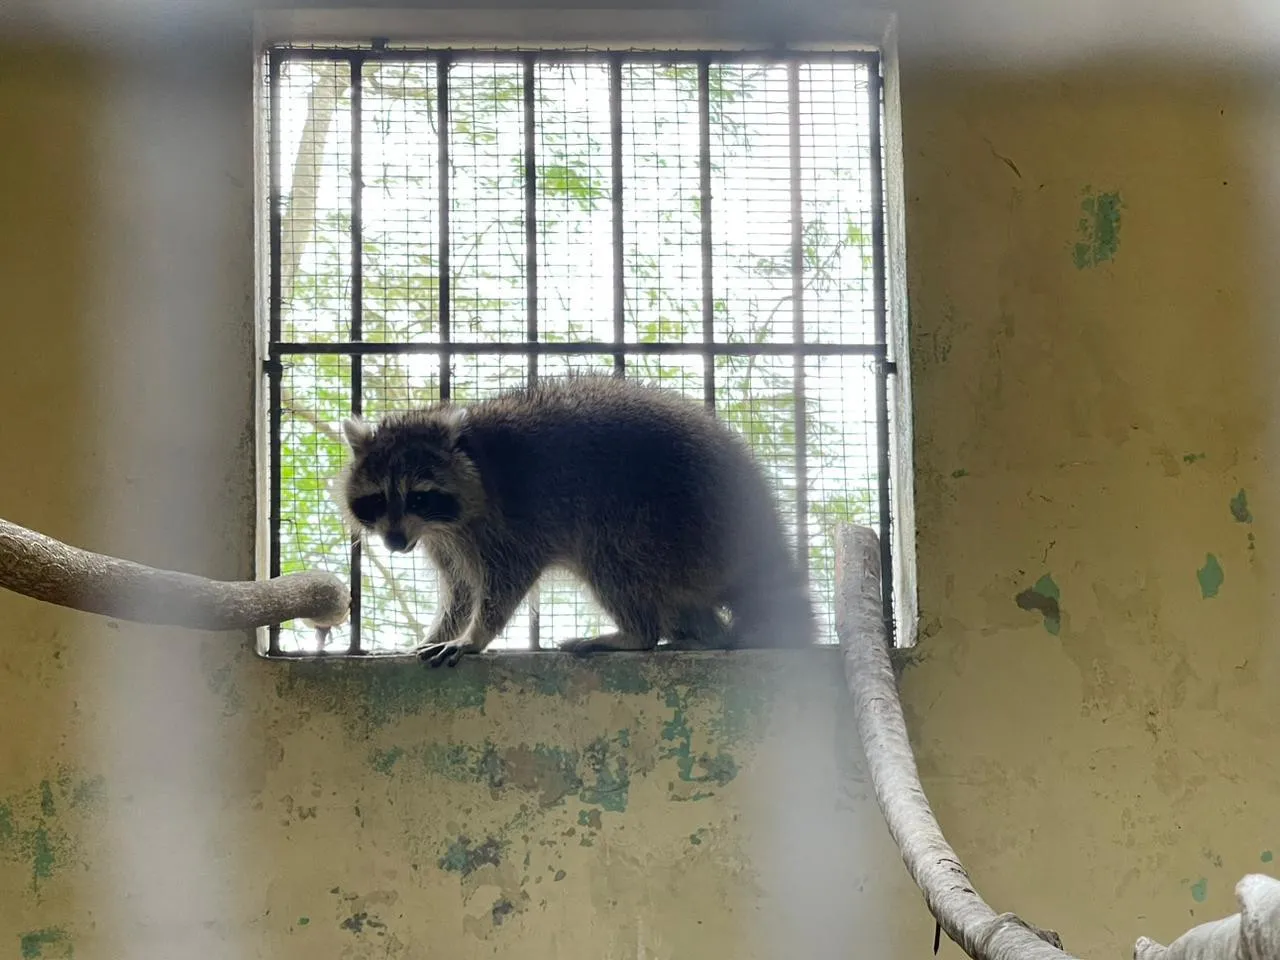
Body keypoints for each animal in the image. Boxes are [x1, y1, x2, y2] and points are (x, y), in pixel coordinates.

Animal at [337, 376, 819, 670]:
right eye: (377, 499)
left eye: (419, 496)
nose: (394, 542)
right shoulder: (445, 540)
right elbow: (459, 590)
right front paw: (438, 630)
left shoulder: (509, 525)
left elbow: (503, 584)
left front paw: (476, 634)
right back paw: (704, 636)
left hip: (662, 520)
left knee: (612, 558)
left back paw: (636, 633)